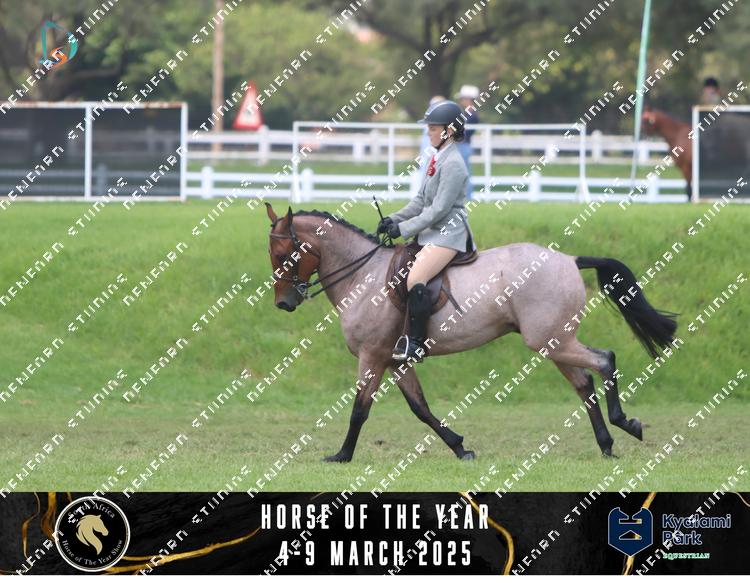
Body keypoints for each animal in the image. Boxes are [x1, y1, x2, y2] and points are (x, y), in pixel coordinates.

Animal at [265, 203, 678, 462]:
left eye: (285, 255)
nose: (283, 303)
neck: (362, 275)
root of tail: (569, 259)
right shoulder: (396, 361)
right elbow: (420, 408)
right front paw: (460, 447)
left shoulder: (372, 356)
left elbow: (359, 411)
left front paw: (342, 455)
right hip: (555, 342)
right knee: (584, 383)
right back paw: (607, 444)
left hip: (551, 340)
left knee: (604, 360)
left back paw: (625, 424)